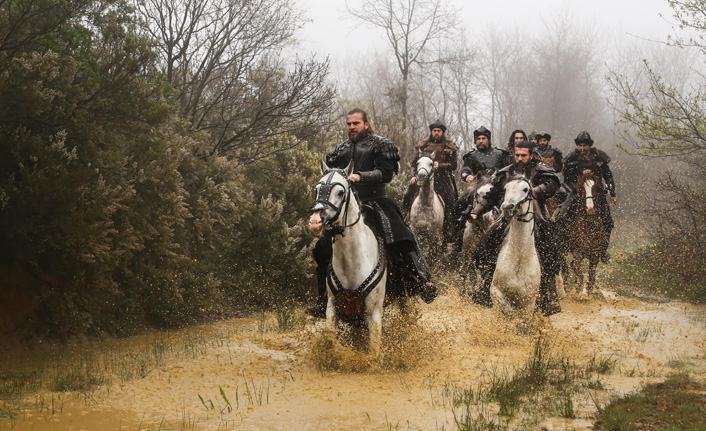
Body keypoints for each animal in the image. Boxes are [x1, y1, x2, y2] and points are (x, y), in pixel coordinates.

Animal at [308, 162, 384, 358]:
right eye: (317, 189)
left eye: (340, 192)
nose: (315, 222)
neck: (352, 264)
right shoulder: (332, 306)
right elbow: (332, 337)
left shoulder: (374, 314)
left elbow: (374, 352)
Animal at [490, 176, 540, 318]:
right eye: (506, 188)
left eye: (525, 189)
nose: (507, 207)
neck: (519, 261)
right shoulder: (494, 290)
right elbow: (507, 310)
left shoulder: (529, 303)